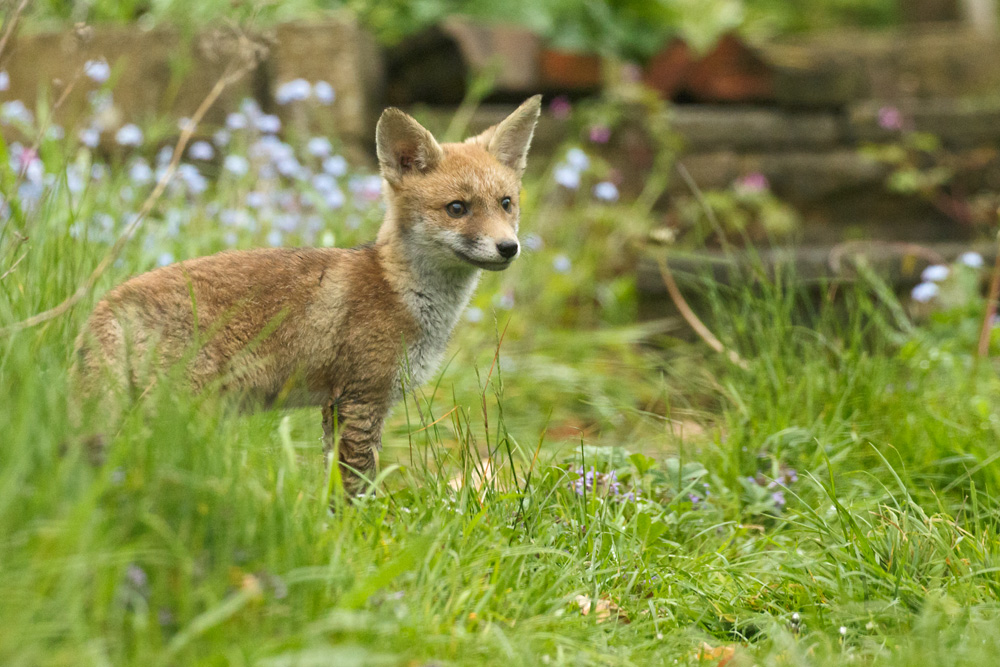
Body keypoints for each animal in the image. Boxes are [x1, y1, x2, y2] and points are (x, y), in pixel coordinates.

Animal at [73, 95, 542, 496]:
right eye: (457, 208)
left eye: (506, 203)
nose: (508, 248)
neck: (399, 292)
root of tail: (107, 302)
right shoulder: (361, 398)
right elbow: (358, 488)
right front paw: (361, 532)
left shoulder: (339, 406)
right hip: (178, 411)